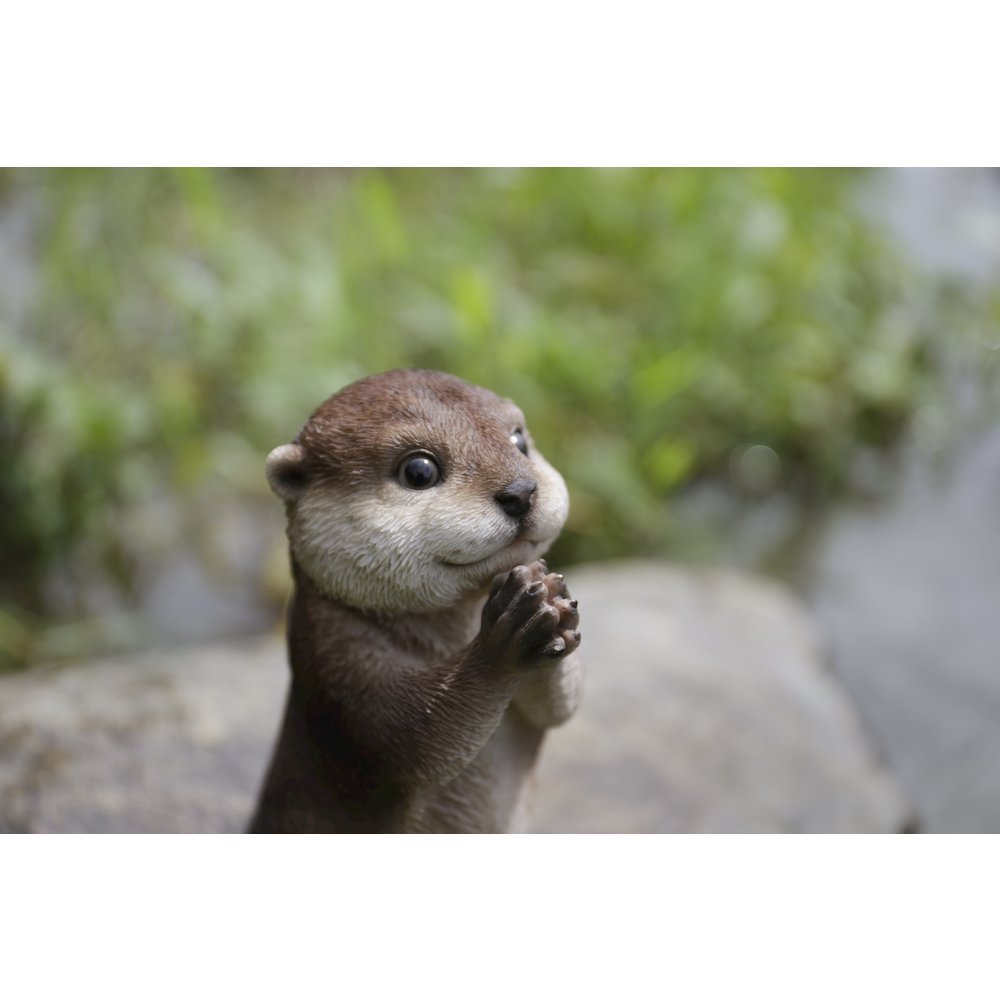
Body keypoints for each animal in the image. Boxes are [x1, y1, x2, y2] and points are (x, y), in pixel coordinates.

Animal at [249, 369, 582, 833]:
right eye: (419, 470)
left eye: (519, 441)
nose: (521, 492)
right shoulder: (334, 664)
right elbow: (415, 738)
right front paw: (506, 640)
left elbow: (560, 708)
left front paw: (552, 603)